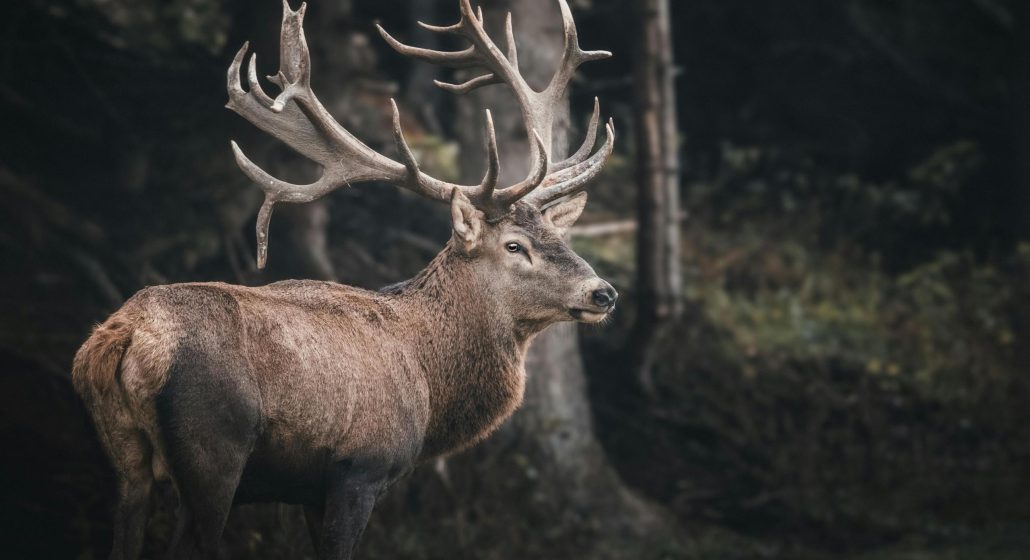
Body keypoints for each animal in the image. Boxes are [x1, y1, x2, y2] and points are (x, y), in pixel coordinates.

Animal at [74, 2, 618, 555]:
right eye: (514, 246)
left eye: (559, 236)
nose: (604, 292)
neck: (430, 385)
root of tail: (126, 335)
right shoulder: (361, 468)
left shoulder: (308, 491)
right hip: (212, 450)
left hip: (125, 459)